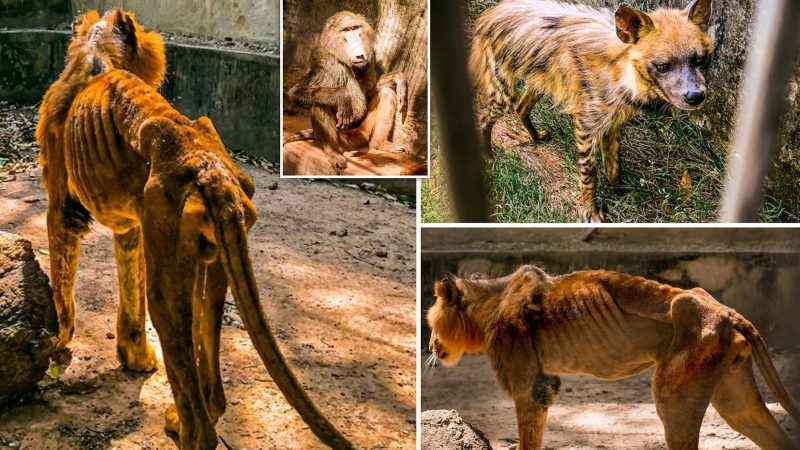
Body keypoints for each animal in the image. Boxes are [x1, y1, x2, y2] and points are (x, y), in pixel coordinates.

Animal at [428, 266, 800, 448]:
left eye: (431, 324)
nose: (431, 346)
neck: (489, 304)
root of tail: (726, 312)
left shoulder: (530, 387)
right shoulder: (542, 386)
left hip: (672, 398)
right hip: (735, 398)